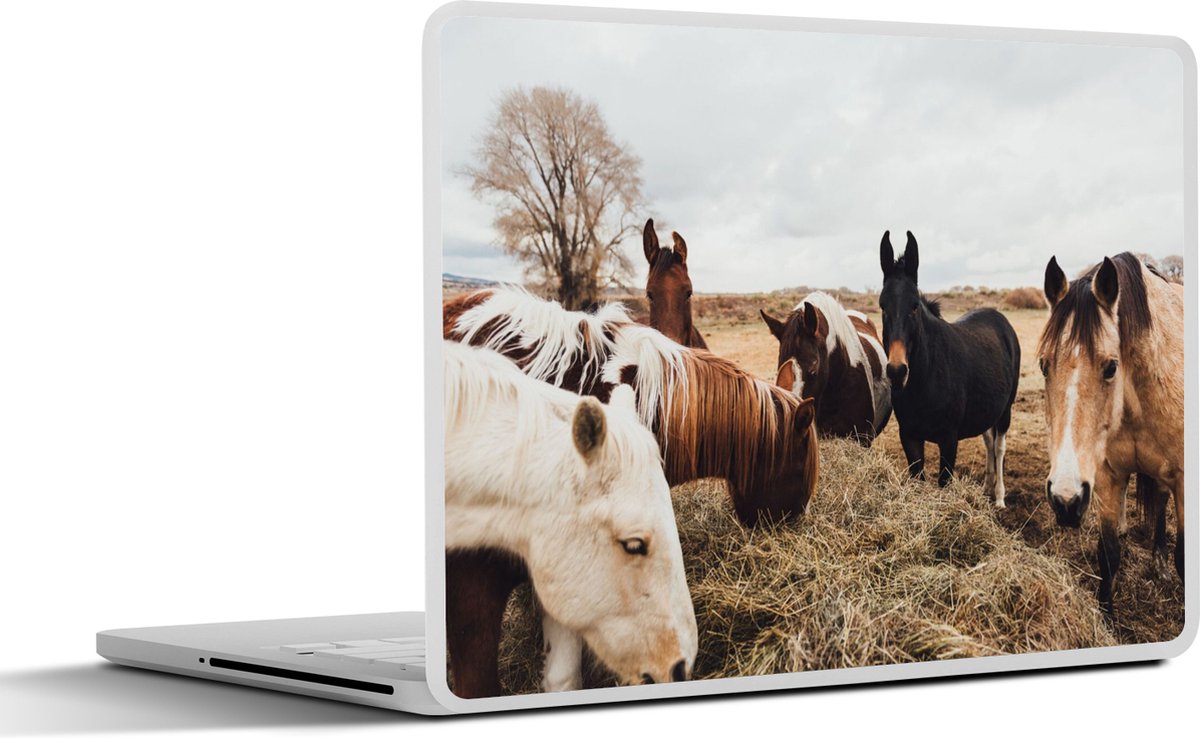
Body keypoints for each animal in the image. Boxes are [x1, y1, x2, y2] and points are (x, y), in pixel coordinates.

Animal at [878, 231, 1021, 506]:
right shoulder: (909, 436)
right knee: (989, 442)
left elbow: (944, 481)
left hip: (1005, 409)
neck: (926, 378)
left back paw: (999, 497)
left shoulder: (949, 439)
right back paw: (986, 488)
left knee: (999, 447)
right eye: (882, 306)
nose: (897, 371)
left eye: (914, 305)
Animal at [1039, 253, 1184, 616]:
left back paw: (1159, 562)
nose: (1065, 500)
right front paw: (1107, 618)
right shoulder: (1105, 475)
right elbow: (1108, 554)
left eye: (1111, 367)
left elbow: (1184, 556)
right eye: (1044, 366)